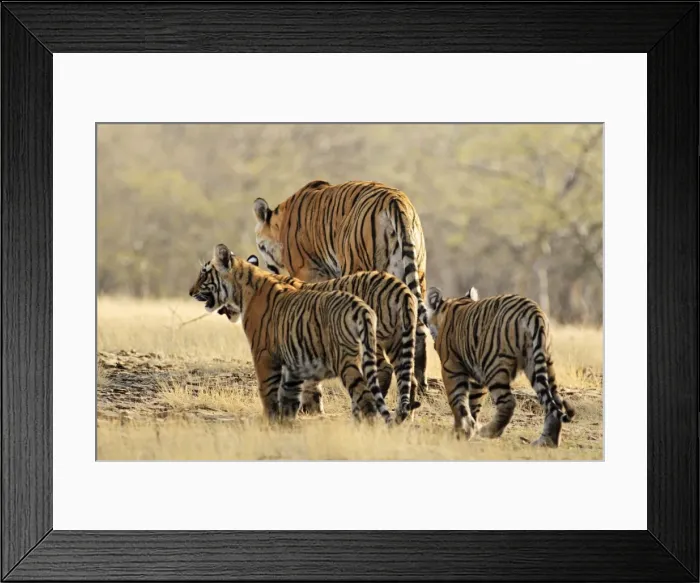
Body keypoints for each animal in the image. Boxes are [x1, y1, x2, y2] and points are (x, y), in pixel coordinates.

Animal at [189, 243, 392, 424]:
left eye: (204, 273)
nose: (190, 292)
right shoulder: (292, 359)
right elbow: (288, 395)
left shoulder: (263, 353)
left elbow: (268, 392)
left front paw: (270, 420)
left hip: (351, 356)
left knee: (371, 389)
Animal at [232, 254, 422, 423]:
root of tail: (401, 287)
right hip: (397, 342)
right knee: (408, 378)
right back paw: (404, 417)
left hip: (373, 341)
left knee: (383, 372)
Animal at [252, 179, 430, 398]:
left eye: (260, 247)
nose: (266, 265)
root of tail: (395, 200)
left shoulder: (307, 272)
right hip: (417, 275)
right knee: (417, 335)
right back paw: (418, 388)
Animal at [426, 286, 576, 447]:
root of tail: (533, 311)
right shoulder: (477, 375)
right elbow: (473, 403)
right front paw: (469, 430)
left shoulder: (451, 367)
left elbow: (457, 401)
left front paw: (461, 432)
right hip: (541, 363)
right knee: (555, 402)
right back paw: (546, 441)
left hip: (494, 365)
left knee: (508, 403)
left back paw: (488, 431)